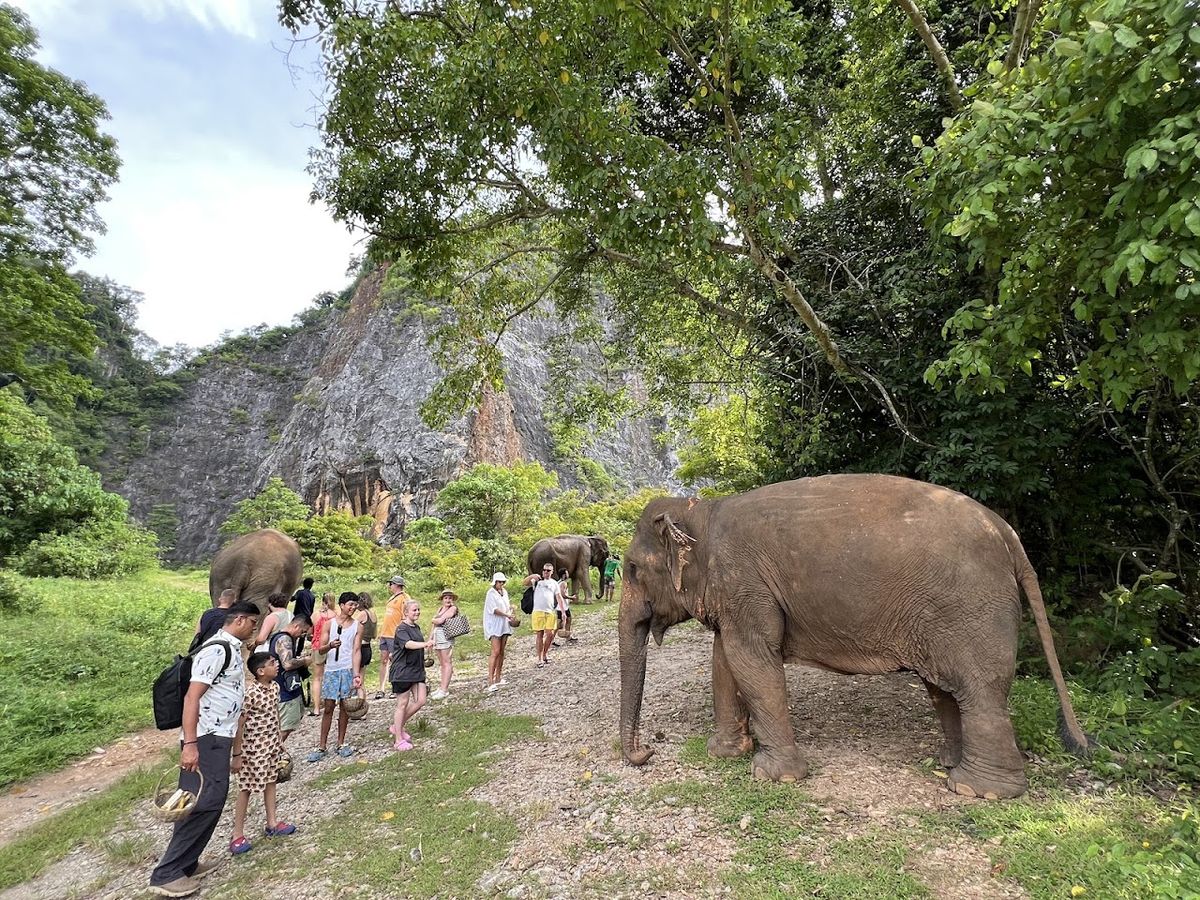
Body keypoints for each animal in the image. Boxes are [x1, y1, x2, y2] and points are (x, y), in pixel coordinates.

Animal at [618, 474, 1090, 800]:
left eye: (633, 570)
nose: (646, 754)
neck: (703, 509)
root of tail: (1007, 534)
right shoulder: (738, 592)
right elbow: (726, 659)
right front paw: (724, 753)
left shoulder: (744, 580)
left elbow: (751, 659)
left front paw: (773, 776)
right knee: (946, 688)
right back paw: (950, 764)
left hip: (970, 607)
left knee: (979, 690)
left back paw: (977, 790)